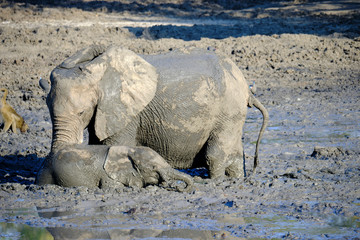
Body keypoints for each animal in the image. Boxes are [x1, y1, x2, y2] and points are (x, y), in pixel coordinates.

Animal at [36, 144, 193, 191]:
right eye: (153, 167)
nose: (179, 188)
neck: (130, 150)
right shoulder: (107, 175)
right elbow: (112, 187)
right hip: (47, 172)